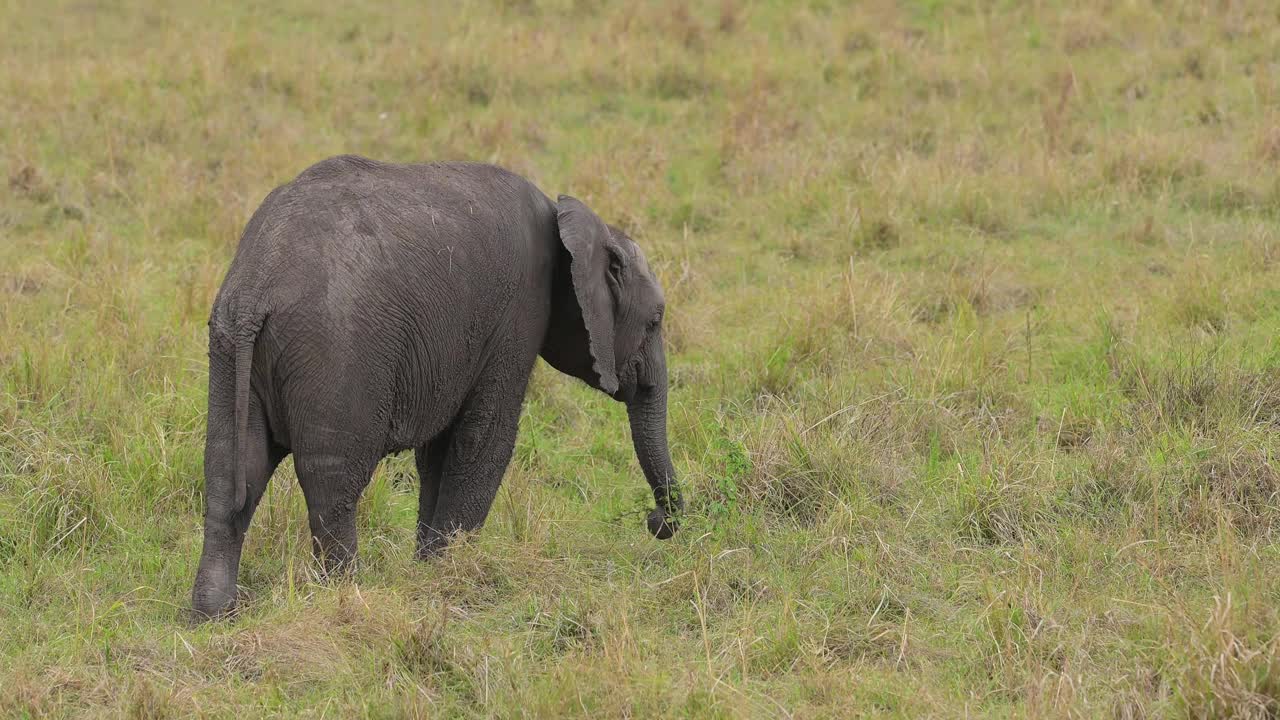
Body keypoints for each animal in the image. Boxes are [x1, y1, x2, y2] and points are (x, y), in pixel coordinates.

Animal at [190, 155, 686, 617]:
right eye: (654, 321)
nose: (655, 521)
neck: (573, 222)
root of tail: (255, 291)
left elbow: (438, 451)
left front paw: (428, 569)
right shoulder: (518, 314)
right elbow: (485, 440)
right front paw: (450, 574)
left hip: (230, 348)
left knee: (231, 473)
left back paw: (213, 615)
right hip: (334, 354)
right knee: (333, 483)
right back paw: (344, 595)